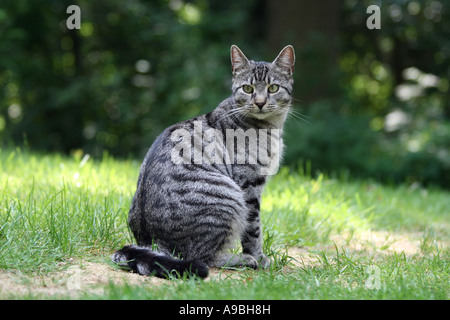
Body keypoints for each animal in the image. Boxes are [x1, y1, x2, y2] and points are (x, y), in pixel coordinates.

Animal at [112, 43, 296, 278]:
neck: (270, 127)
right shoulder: (249, 185)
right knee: (203, 256)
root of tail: (149, 242)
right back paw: (242, 260)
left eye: (273, 88)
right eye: (248, 89)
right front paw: (259, 257)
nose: (260, 102)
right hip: (229, 198)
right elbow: (254, 229)